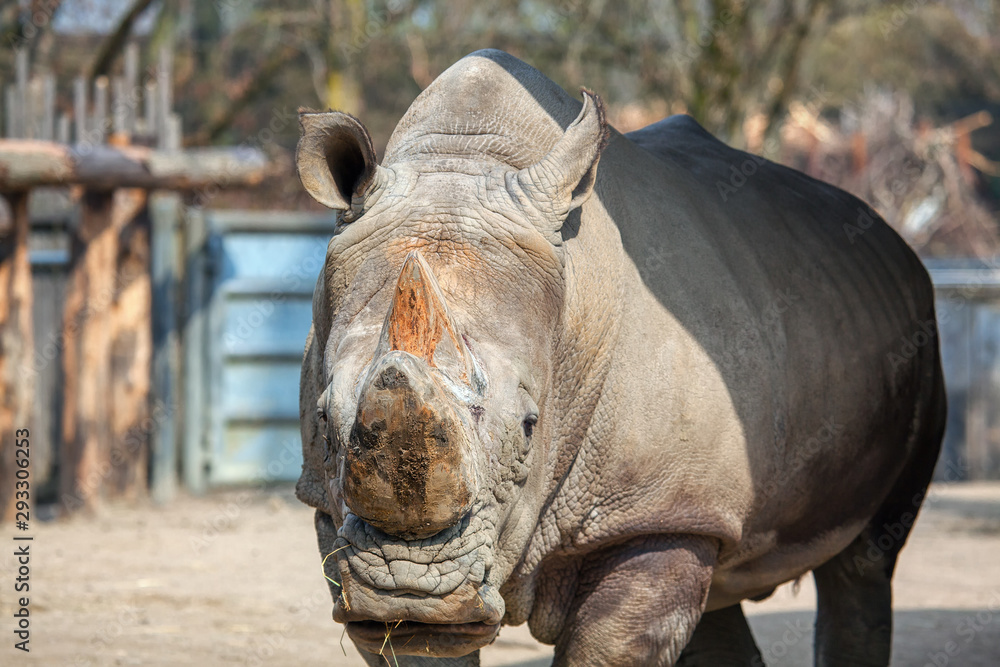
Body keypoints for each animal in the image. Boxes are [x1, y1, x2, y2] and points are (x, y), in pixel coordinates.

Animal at [294, 49, 946, 666]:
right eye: (323, 419)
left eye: (529, 427)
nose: (408, 596)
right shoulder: (329, 508)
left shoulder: (655, 511)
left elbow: (613, 645)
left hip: (918, 338)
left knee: (865, 562)